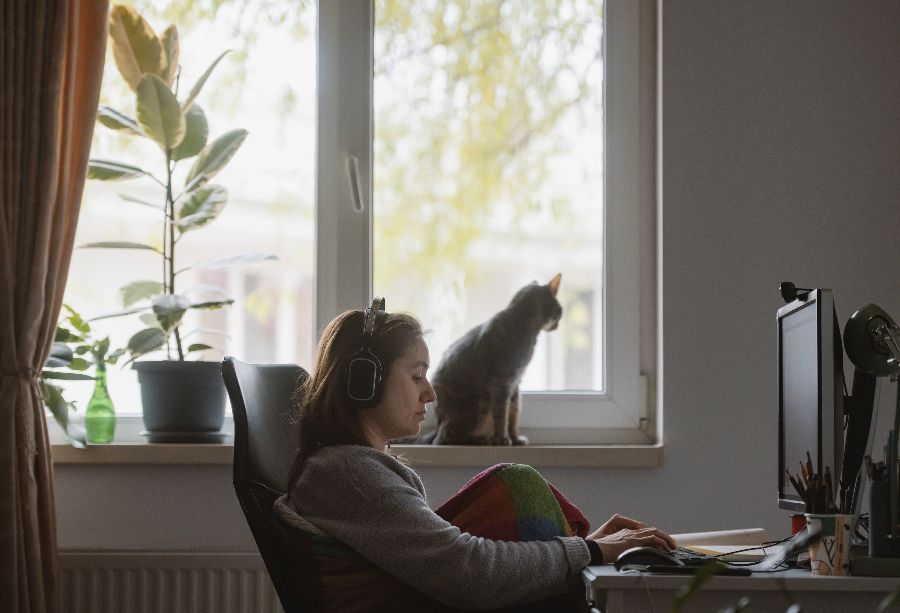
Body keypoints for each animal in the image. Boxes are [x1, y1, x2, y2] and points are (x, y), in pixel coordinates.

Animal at [418, 274, 560, 444]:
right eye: (560, 310)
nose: (558, 324)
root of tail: (437, 424)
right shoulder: (501, 383)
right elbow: (502, 414)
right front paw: (503, 438)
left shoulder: (515, 383)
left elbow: (513, 413)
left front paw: (515, 438)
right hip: (475, 407)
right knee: (444, 438)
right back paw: (480, 440)